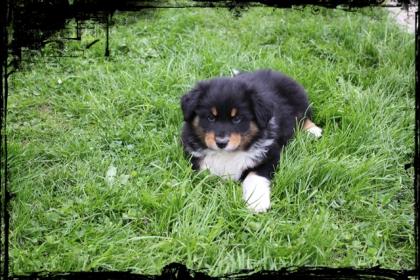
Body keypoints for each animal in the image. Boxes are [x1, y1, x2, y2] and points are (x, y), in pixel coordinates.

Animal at [180, 69, 322, 212]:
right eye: (210, 117)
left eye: (237, 119)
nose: (221, 143)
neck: (229, 153)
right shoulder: (194, 156)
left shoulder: (269, 155)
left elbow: (254, 176)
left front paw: (257, 203)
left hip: (300, 101)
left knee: (304, 117)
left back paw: (313, 131)